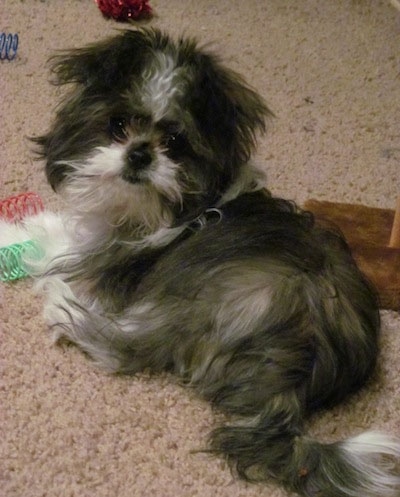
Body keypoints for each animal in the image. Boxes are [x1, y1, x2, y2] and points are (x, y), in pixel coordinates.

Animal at [3, 29, 400, 496]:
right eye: (118, 125)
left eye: (175, 143)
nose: (140, 154)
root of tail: (294, 377)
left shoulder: (101, 251)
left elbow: (49, 236)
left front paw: (11, 234)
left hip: (200, 299)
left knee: (122, 348)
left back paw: (61, 305)